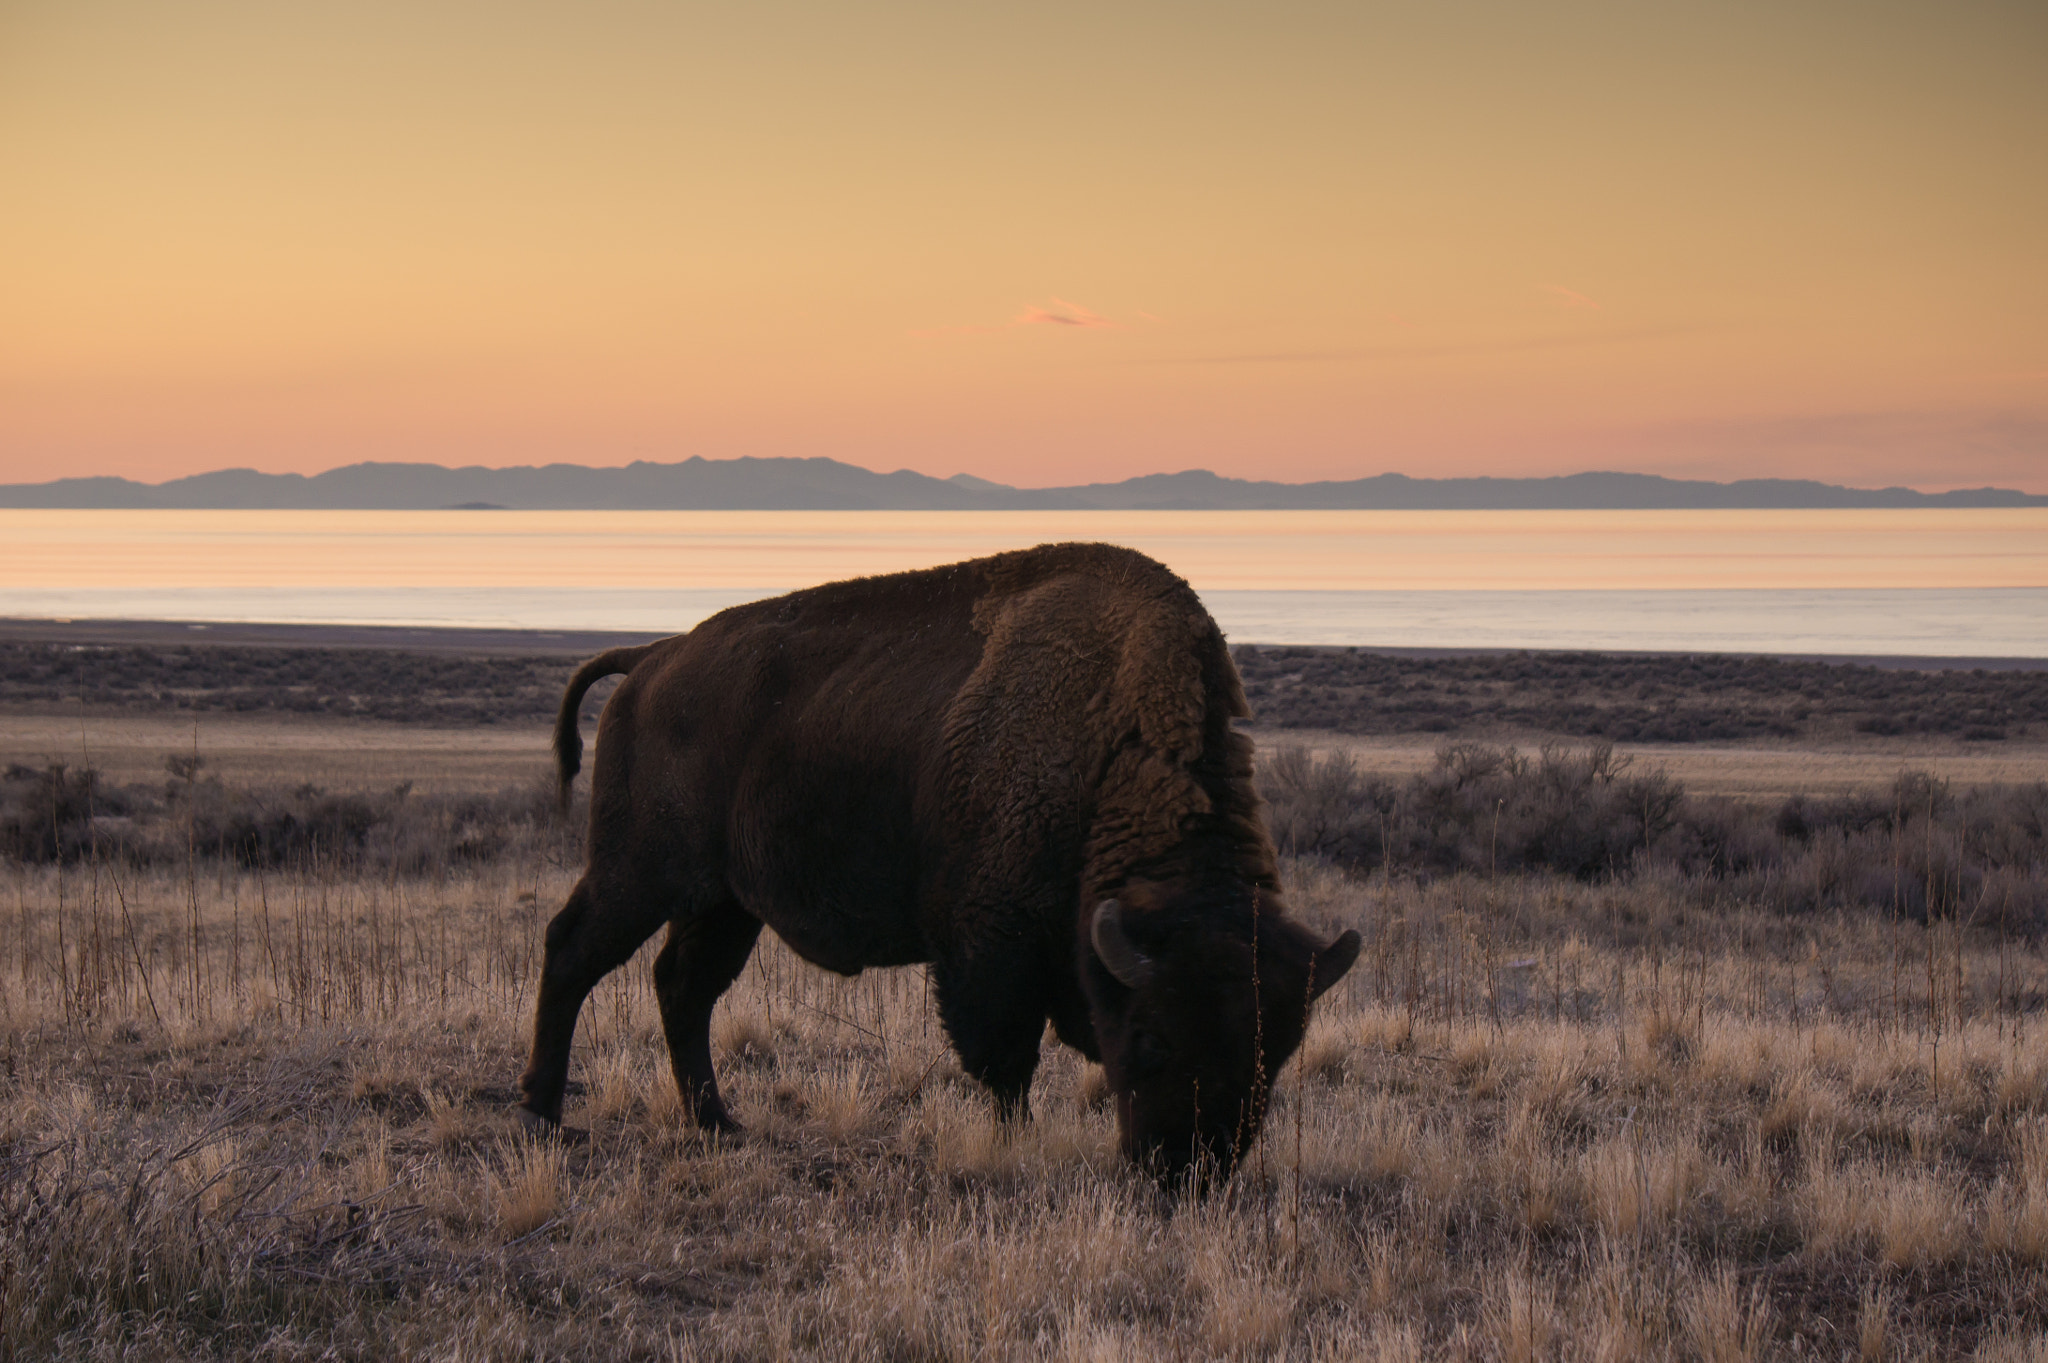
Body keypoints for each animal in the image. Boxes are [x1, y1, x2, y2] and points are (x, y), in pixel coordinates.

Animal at [516, 540, 1359, 1178]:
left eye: (1274, 1053)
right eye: (1152, 1037)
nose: (1188, 1171)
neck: (1105, 745)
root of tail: (655, 656)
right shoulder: (989, 947)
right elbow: (1007, 1060)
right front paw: (1014, 1143)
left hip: (725, 902)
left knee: (683, 986)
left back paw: (719, 1121)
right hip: (640, 873)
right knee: (572, 949)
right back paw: (543, 1111)